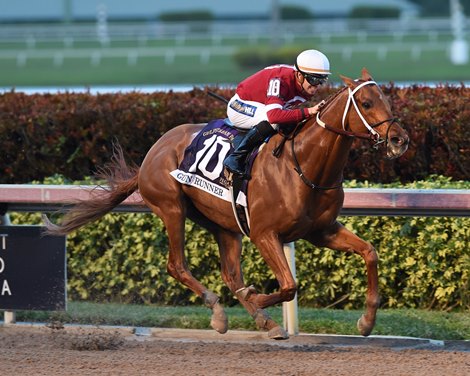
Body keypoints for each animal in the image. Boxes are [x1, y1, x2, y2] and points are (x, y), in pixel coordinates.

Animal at [46, 68, 410, 340]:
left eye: (386, 99)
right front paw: (256, 296)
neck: (304, 164)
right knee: (177, 265)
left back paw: (264, 321)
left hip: (224, 223)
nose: (399, 140)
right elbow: (289, 285)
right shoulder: (265, 234)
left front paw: (366, 322)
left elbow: (370, 252)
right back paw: (221, 312)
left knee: (231, 274)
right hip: (171, 207)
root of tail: (154, 150)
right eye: (366, 102)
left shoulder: (322, 230)